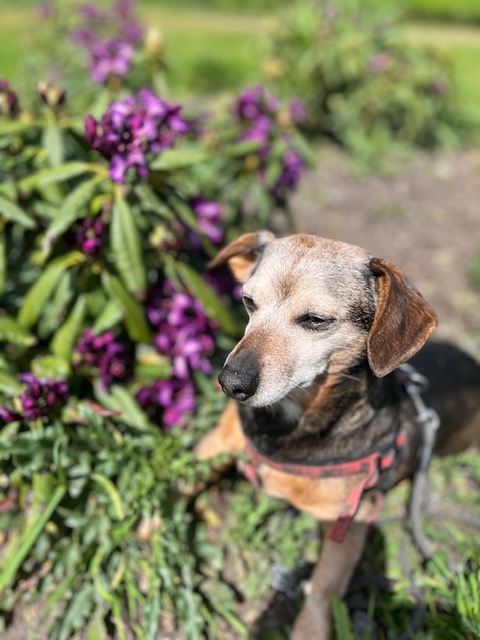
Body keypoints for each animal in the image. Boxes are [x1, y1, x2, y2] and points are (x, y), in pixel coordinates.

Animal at [195, 231, 480, 639]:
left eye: (315, 320)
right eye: (248, 302)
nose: (230, 383)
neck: (287, 424)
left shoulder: (351, 522)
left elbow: (322, 590)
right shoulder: (212, 446)